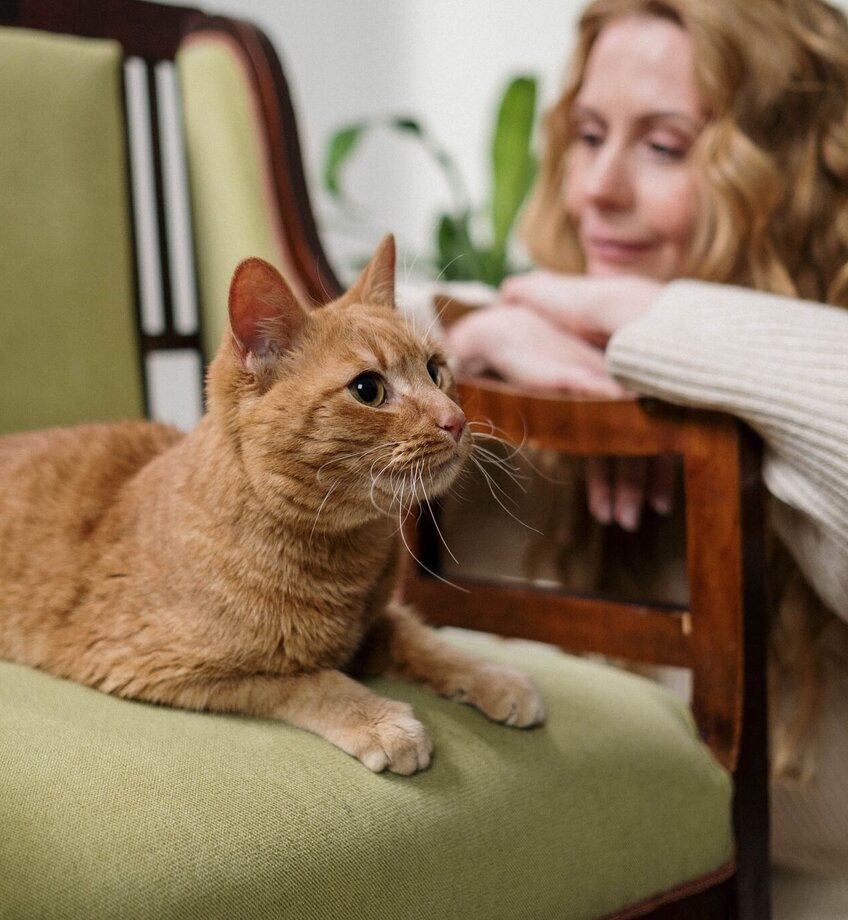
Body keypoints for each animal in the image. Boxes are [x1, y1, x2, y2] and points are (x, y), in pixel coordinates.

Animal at [0, 235, 544, 768]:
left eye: (435, 370)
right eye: (368, 389)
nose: (455, 420)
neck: (342, 558)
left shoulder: (377, 621)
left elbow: (427, 640)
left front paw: (497, 676)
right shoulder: (165, 668)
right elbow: (311, 681)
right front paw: (382, 722)